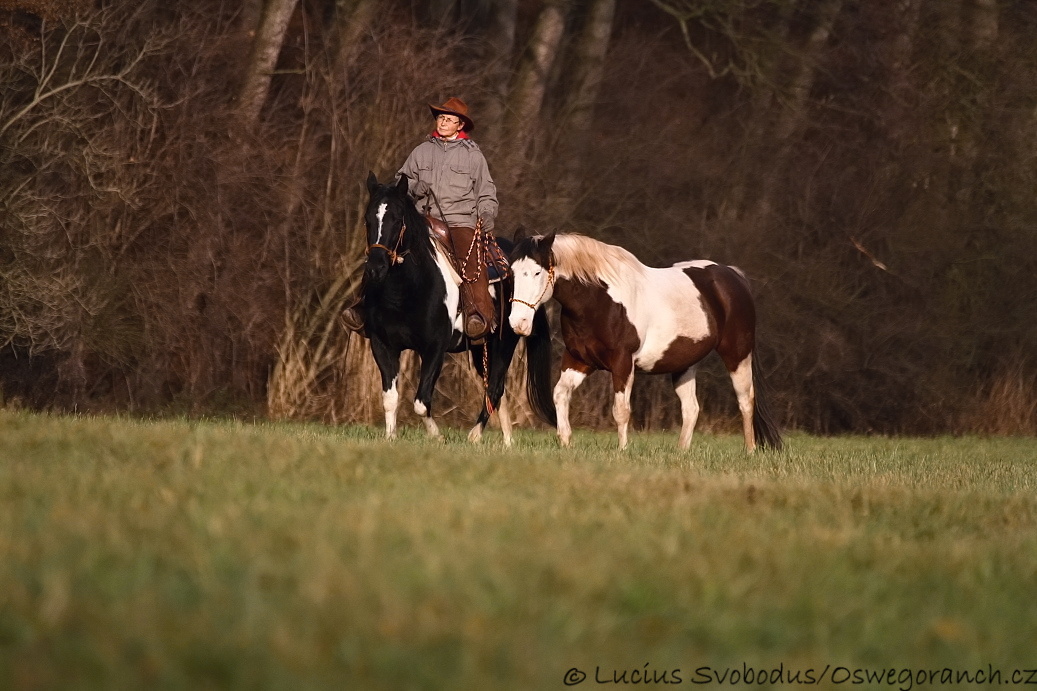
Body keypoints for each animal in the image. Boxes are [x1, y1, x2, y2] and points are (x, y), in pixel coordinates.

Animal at [365, 172, 559, 441]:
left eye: (396, 219)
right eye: (368, 220)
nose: (376, 268)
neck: (405, 291)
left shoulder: (435, 348)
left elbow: (421, 402)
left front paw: (437, 436)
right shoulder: (382, 345)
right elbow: (390, 399)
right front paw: (390, 439)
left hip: (504, 342)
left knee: (495, 389)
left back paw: (475, 436)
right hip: (480, 348)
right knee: (496, 392)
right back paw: (507, 442)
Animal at [506, 228, 779, 450]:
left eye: (537, 272)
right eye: (512, 274)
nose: (518, 323)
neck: (600, 300)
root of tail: (733, 276)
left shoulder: (622, 363)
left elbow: (621, 410)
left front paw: (622, 451)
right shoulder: (578, 360)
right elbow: (560, 395)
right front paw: (566, 443)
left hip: (737, 354)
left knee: (746, 401)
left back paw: (750, 450)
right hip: (685, 364)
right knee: (691, 409)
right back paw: (681, 453)